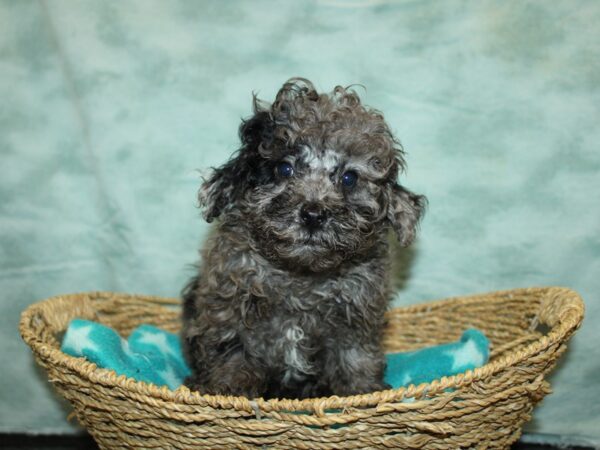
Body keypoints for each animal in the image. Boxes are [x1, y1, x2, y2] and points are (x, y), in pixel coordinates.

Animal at [183, 79, 426, 400]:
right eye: (284, 169)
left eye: (349, 178)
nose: (313, 215)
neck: (301, 276)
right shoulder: (227, 309)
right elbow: (231, 356)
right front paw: (226, 393)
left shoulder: (357, 318)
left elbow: (356, 360)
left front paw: (363, 393)